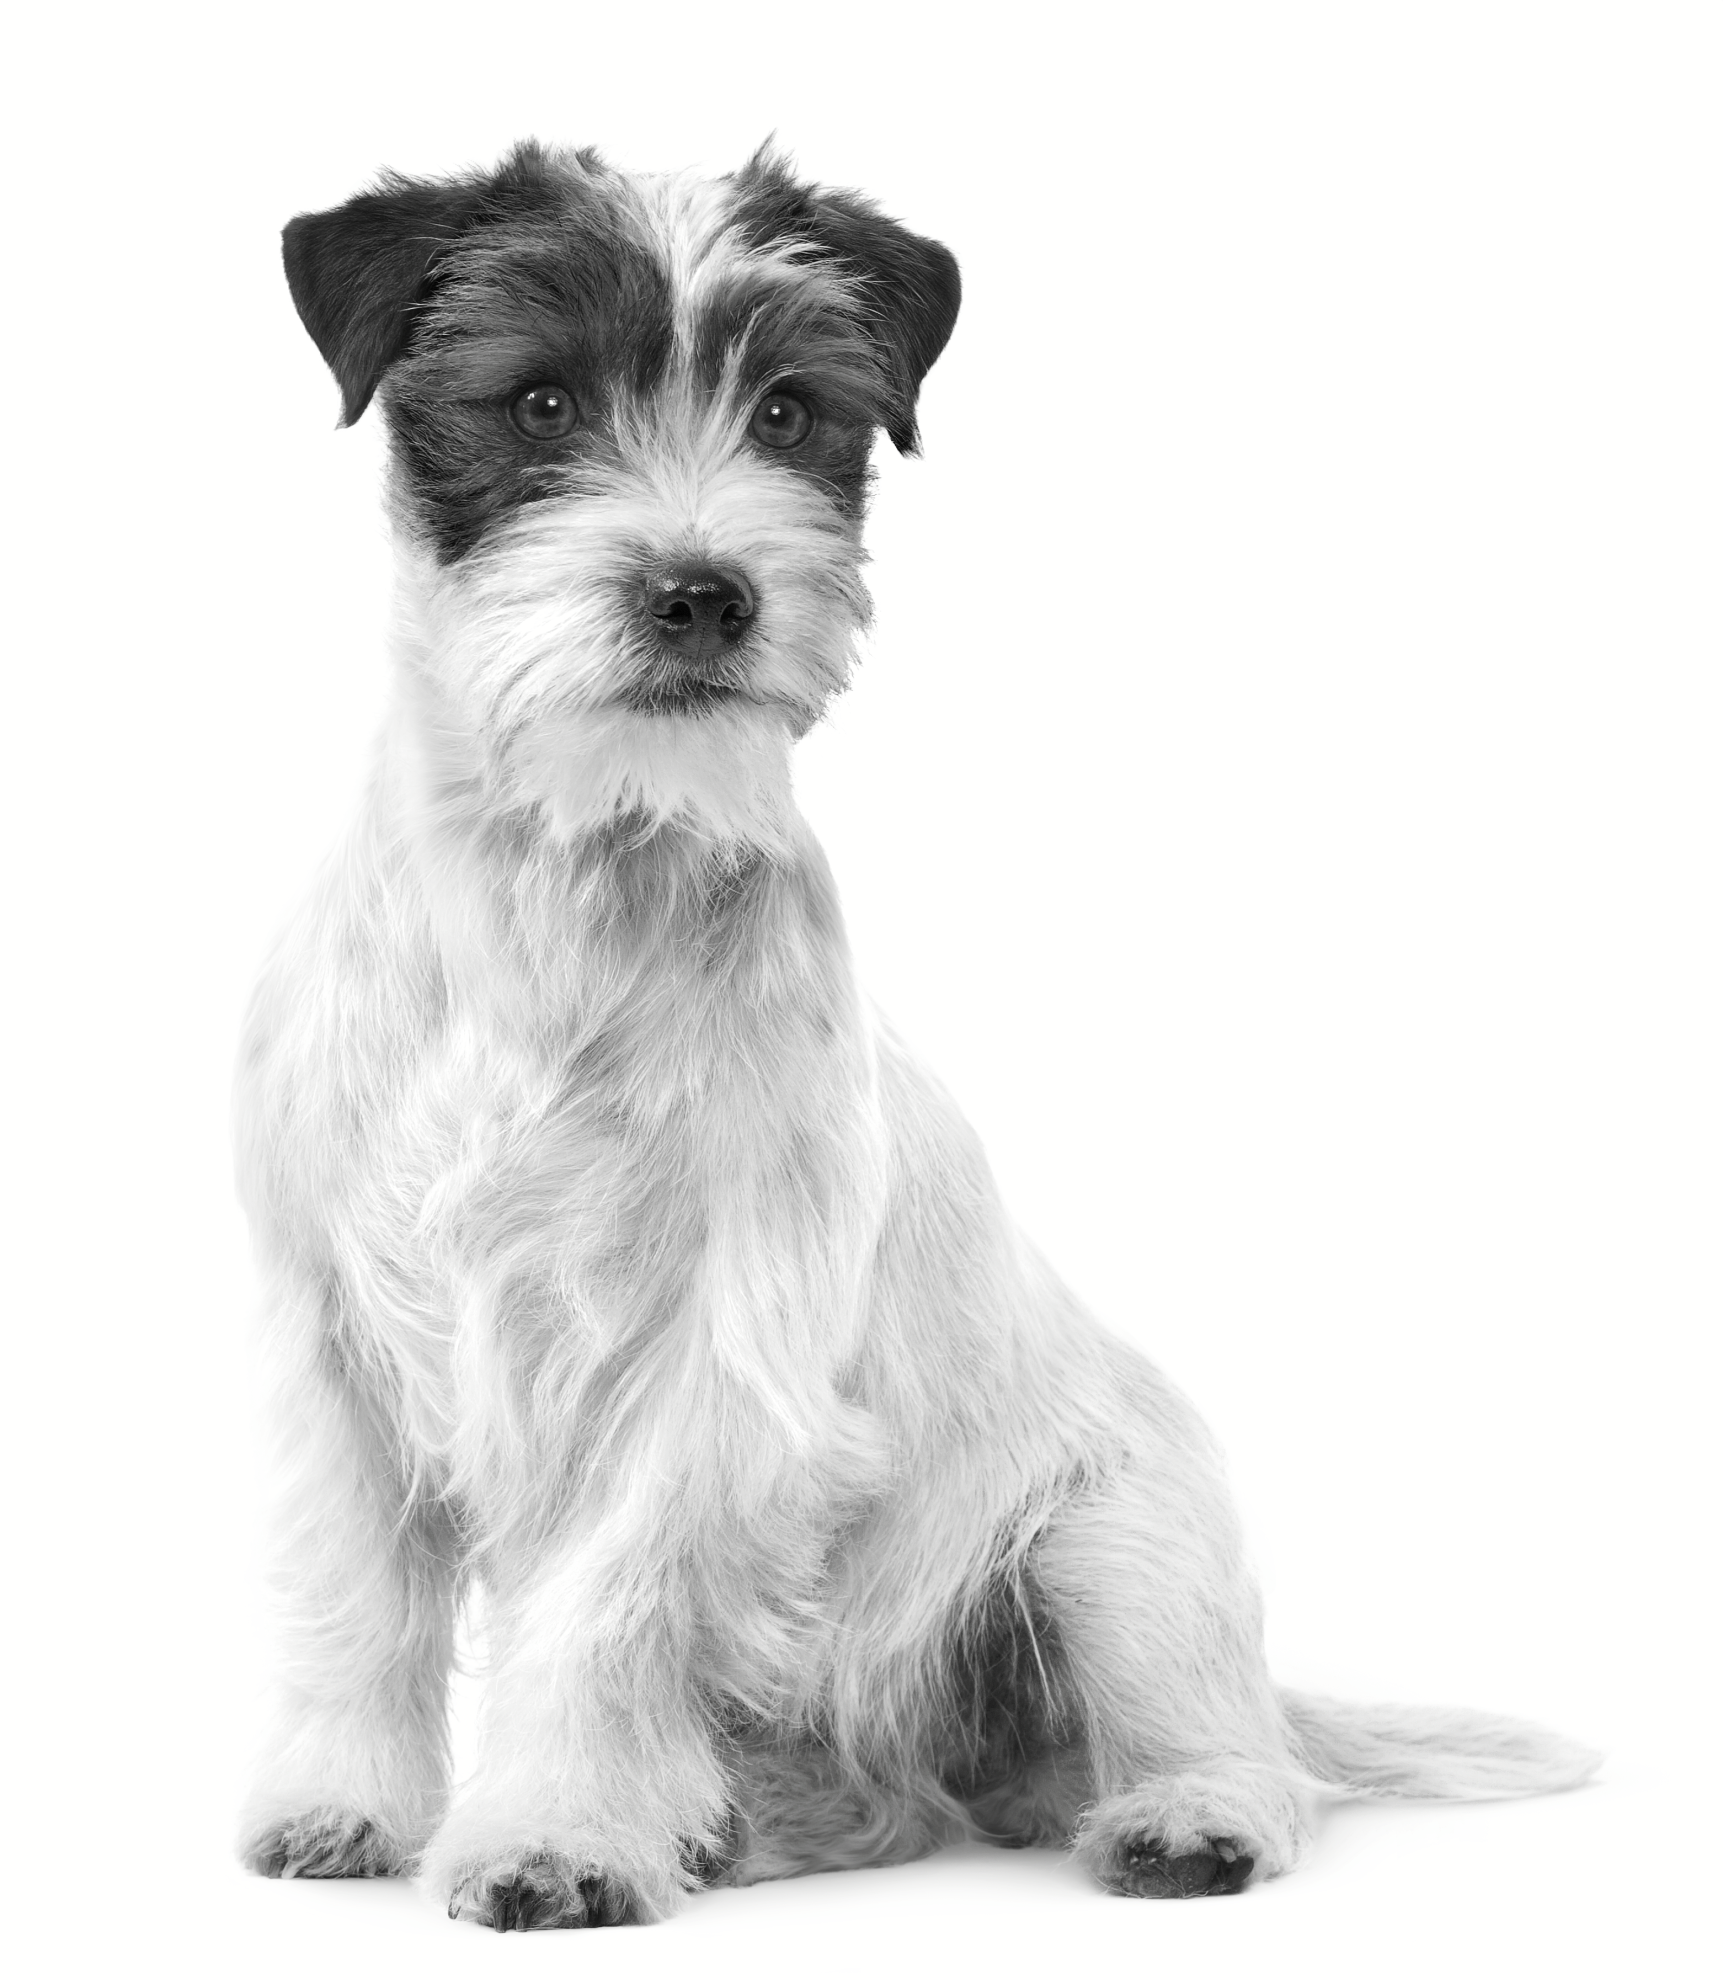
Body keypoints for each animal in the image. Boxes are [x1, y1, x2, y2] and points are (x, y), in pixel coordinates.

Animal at [235, 143, 1600, 1932]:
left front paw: (556, 1833)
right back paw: (740, 1822)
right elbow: (352, 1603)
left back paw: (1184, 1817)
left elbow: (601, 1616)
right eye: (537, 401)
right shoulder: (333, 1342)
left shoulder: (707, 1368)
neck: (561, 877)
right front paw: (342, 1803)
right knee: (883, 1806)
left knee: (1223, 1747)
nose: (702, 592)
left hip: (1114, 1547)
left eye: (791, 413)